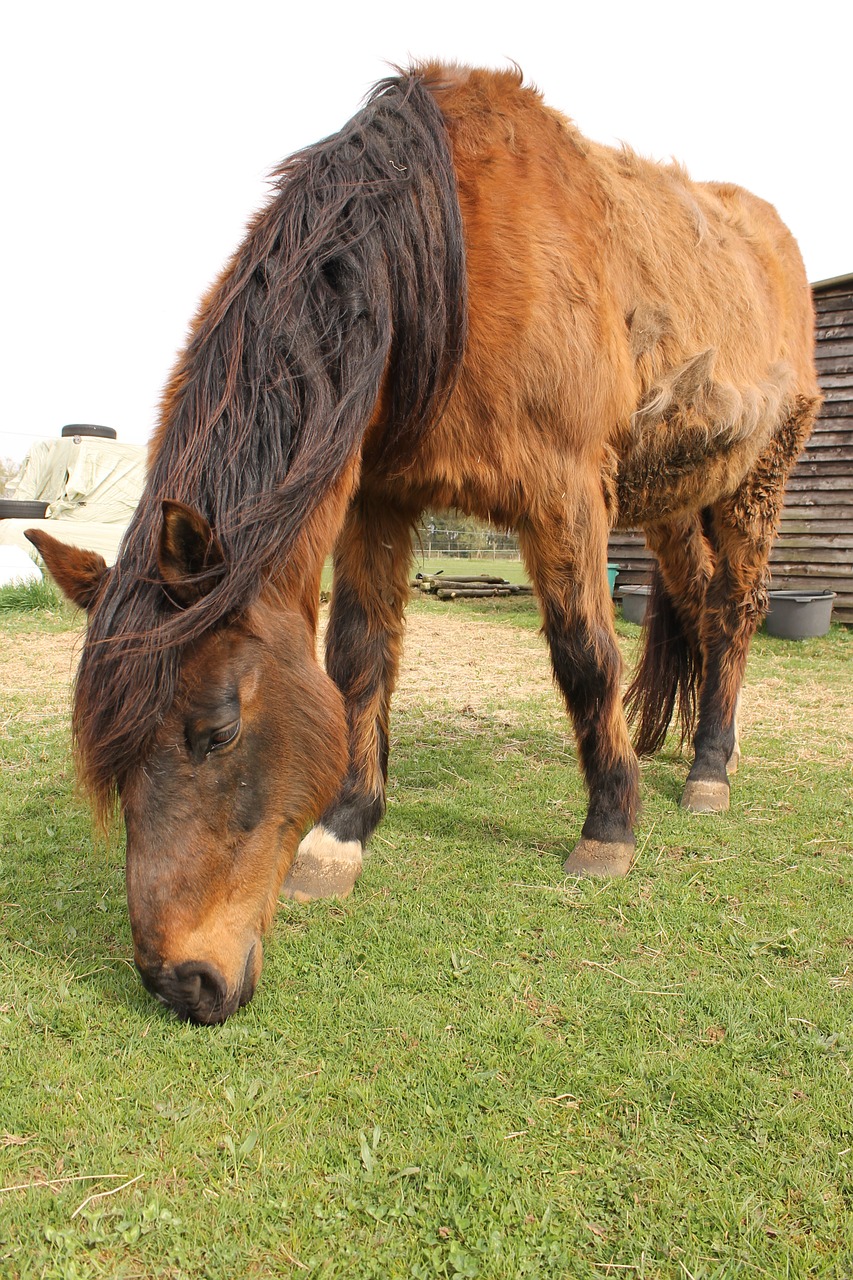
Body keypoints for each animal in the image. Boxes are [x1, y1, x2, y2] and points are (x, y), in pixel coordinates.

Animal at [29, 62, 819, 1018]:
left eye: (216, 732)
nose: (181, 983)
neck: (449, 252)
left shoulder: (563, 493)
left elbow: (584, 657)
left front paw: (609, 827)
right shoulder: (379, 497)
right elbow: (359, 658)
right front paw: (343, 834)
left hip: (755, 485)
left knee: (735, 612)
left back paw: (708, 770)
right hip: (673, 503)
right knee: (701, 609)